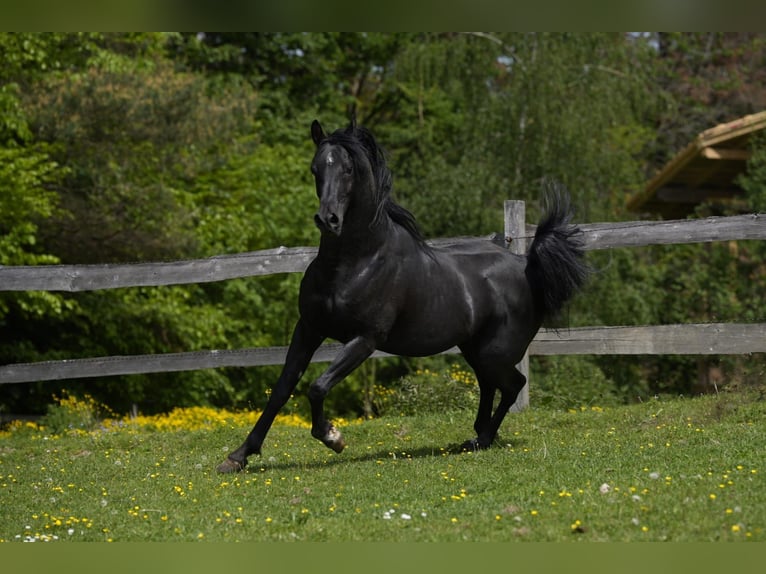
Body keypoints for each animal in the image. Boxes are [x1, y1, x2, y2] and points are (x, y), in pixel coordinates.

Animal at [216, 118, 588, 476]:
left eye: (348, 169)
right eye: (315, 168)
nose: (328, 219)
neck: (354, 263)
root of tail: (527, 265)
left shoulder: (364, 339)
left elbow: (317, 386)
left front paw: (333, 437)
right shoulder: (308, 328)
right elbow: (282, 389)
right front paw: (238, 457)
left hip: (495, 351)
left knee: (512, 385)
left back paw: (482, 438)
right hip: (476, 349)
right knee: (489, 385)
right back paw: (476, 436)